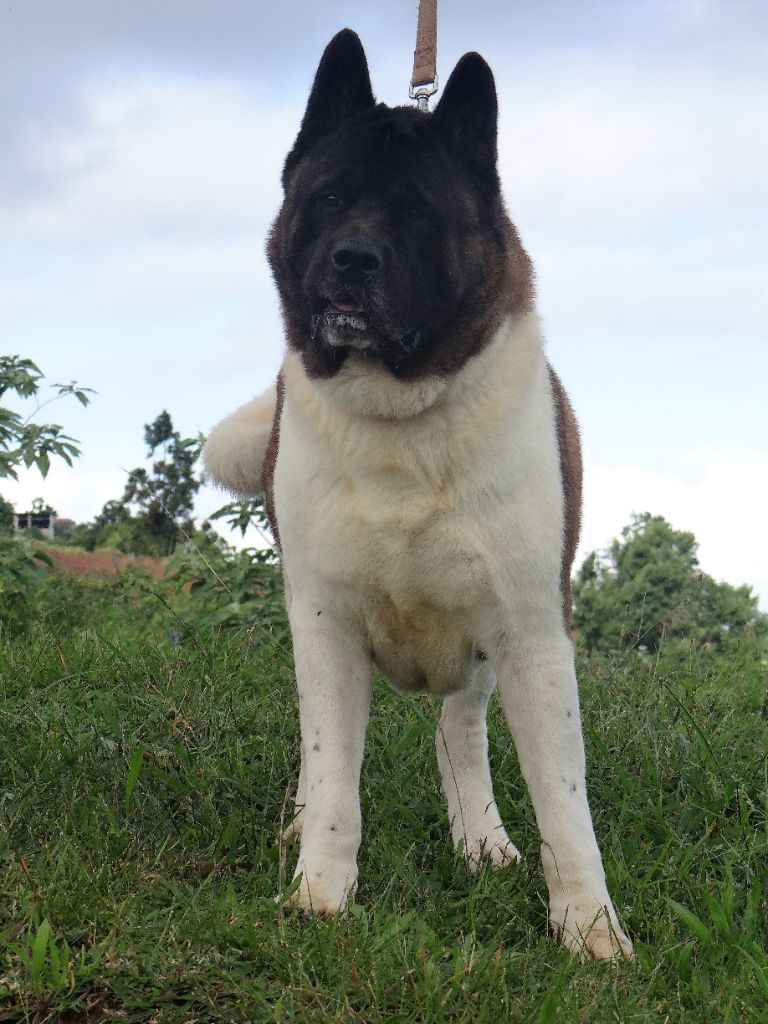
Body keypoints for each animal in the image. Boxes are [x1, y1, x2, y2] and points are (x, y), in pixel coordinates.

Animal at [204, 29, 630, 958]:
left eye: (417, 214)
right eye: (329, 197)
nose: (352, 259)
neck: (398, 416)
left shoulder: (534, 633)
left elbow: (565, 805)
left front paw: (590, 930)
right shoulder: (323, 625)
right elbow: (333, 770)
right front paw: (319, 895)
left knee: (459, 731)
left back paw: (481, 838)